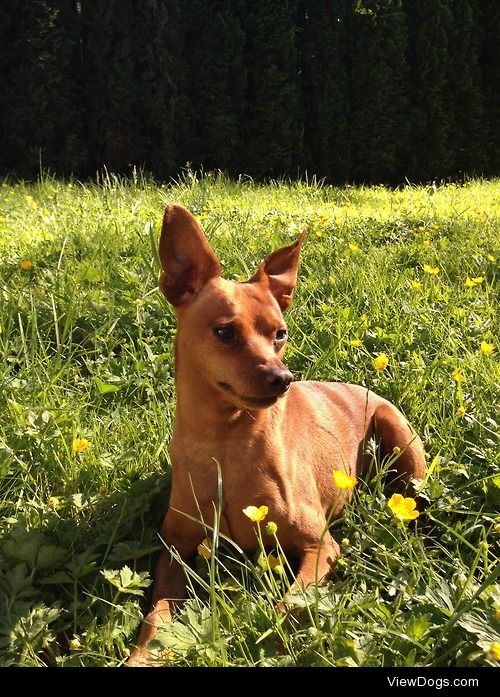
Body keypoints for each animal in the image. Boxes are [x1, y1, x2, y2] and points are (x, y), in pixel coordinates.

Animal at [127, 203, 424, 664]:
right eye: (225, 332)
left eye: (280, 334)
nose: (283, 378)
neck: (226, 442)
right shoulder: (174, 550)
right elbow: (157, 616)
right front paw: (143, 654)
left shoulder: (320, 547)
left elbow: (291, 604)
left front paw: (272, 643)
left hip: (401, 440)